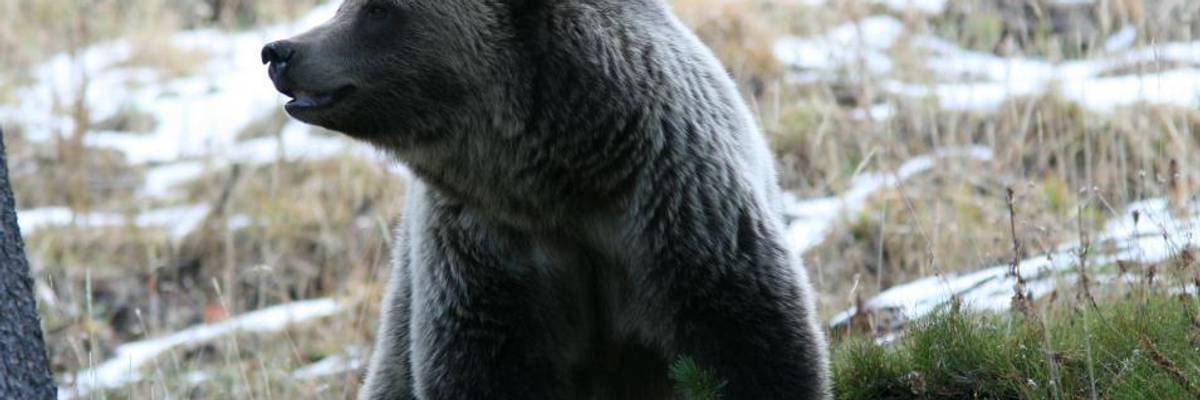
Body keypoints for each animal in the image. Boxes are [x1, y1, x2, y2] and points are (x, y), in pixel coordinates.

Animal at [262, 0, 830, 398]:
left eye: (378, 9)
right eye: (347, 4)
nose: (280, 51)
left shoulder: (678, 216)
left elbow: (754, 346)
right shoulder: (485, 255)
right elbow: (479, 369)